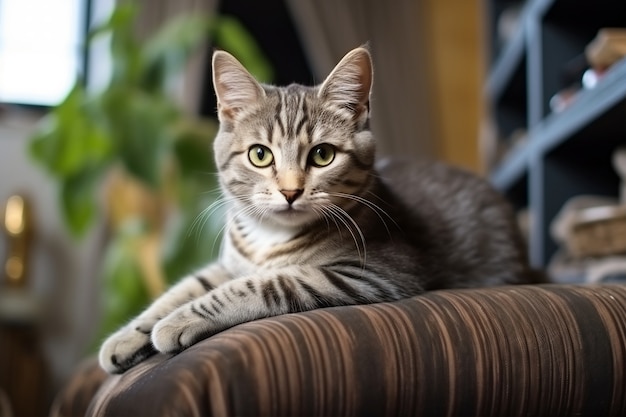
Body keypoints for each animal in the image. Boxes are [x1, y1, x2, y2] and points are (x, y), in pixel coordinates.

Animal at [98, 46, 536, 374]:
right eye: (260, 155)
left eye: (323, 155)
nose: (290, 191)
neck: (269, 238)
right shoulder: (229, 263)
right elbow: (187, 285)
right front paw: (129, 334)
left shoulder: (371, 272)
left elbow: (264, 283)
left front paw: (178, 321)